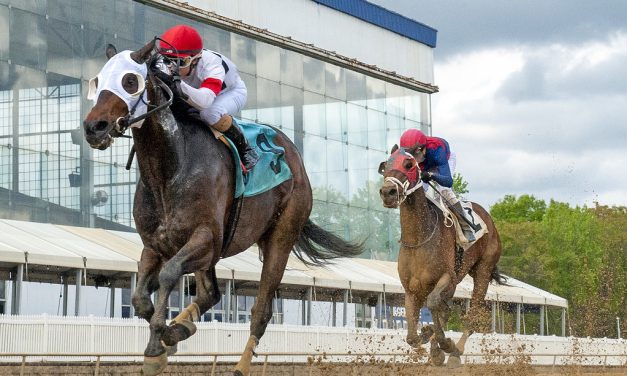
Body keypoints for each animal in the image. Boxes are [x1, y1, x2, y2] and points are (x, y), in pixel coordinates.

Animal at [82, 41, 364, 376]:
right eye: (97, 81)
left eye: (129, 80)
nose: (93, 127)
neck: (171, 169)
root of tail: (293, 154)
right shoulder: (155, 244)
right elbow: (140, 298)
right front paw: (169, 337)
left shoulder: (207, 238)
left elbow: (168, 274)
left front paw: (159, 344)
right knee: (211, 293)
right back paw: (183, 326)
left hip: (280, 237)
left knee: (261, 310)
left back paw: (239, 365)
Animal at [378, 146, 506, 368]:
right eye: (386, 165)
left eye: (409, 165)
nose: (388, 192)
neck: (420, 238)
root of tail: (486, 215)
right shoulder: (411, 289)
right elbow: (412, 336)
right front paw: (429, 338)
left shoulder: (448, 277)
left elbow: (433, 304)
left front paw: (444, 343)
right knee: (444, 309)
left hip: (483, 270)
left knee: (471, 313)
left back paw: (455, 352)